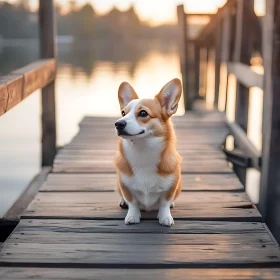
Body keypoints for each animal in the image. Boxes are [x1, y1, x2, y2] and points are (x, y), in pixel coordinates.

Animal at [114, 77, 183, 226]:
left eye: (143, 113)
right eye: (123, 113)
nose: (118, 124)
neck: (142, 150)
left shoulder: (172, 186)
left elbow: (164, 203)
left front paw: (165, 217)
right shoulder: (124, 185)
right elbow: (132, 202)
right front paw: (132, 216)